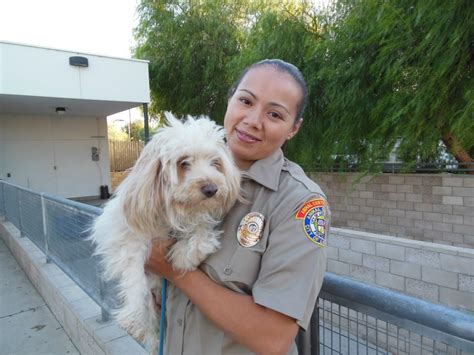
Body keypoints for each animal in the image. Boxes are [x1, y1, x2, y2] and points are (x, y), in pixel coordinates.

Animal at [90, 114, 241, 350]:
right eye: (183, 163)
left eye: (215, 163)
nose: (211, 189)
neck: (166, 217)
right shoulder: (125, 237)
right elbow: (134, 274)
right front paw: (134, 315)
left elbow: (200, 234)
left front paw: (182, 256)